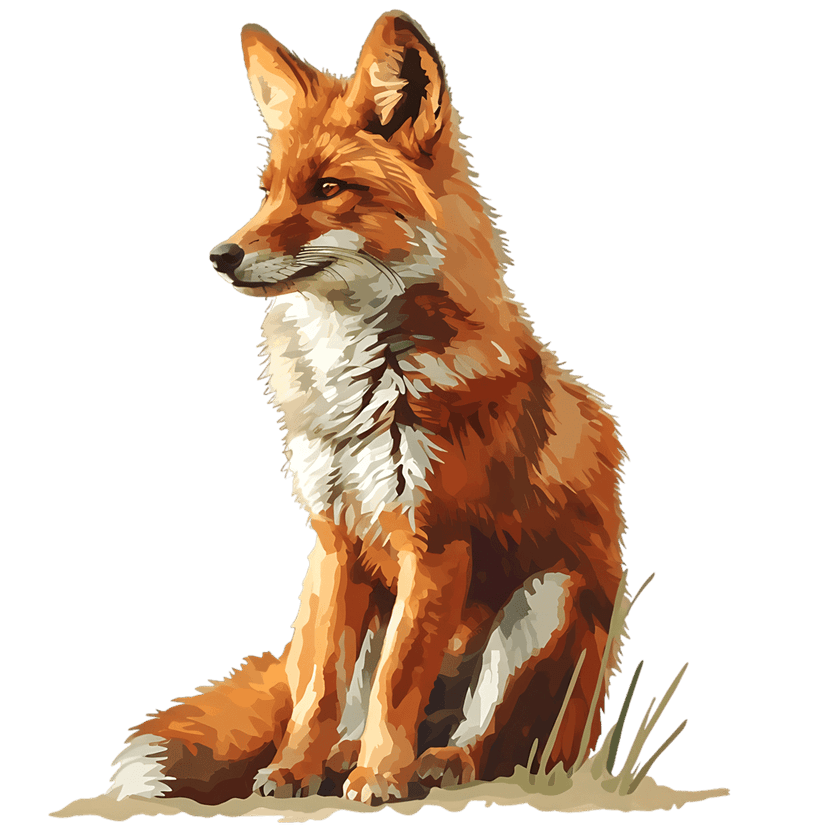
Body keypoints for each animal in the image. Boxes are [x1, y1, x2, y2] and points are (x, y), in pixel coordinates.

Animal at [108, 9, 627, 807]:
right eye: (267, 191)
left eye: (328, 187)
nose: (220, 256)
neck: (356, 390)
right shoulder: (335, 540)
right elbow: (323, 689)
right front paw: (292, 771)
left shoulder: (435, 543)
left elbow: (397, 683)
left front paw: (381, 778)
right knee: (331, 694)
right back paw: (336, 760)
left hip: (549, 601)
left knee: (488, 741)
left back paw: (430, 764)